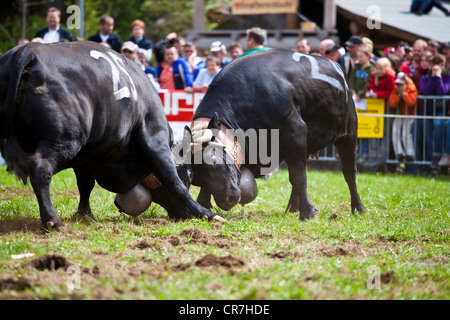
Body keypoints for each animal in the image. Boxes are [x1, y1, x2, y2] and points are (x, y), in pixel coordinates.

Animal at [0, 42, 224, 230]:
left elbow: (85, 184)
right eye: (190, 174)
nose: (180, 215)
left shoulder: (86, 157)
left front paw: (85, 214)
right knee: (41, 169)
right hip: (64, 140)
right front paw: (206, 213)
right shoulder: (154, 137)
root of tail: (28, 51)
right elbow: (172, 179)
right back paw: (53, 221)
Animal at [186, 48, 366, 220]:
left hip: (348, 133)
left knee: (349, 172)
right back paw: (292, 208)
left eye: (214, 160)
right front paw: (203, 205)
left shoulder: (295, 132)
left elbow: (299, 177)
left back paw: (358, 208)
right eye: (196, 177)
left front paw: (309, 212)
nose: (226, 200)